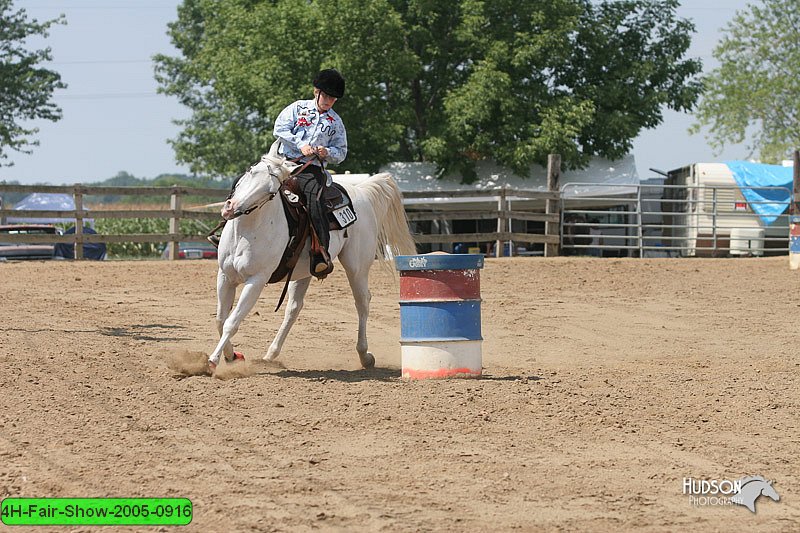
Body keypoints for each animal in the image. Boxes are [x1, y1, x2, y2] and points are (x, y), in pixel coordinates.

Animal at [206, 141, 418, 374]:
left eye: (270, 192)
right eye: (251, 172)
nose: (230, 207)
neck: (247, 231)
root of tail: (361, 191)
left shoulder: (256, 280)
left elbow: (231, 322)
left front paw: (213, 361)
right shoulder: (225, 276)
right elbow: (220, 319)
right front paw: (232, 356)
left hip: (357, 267)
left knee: (362, 301)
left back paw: (365, 355)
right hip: (303, 272)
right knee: (294, 308)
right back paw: (271, 354)